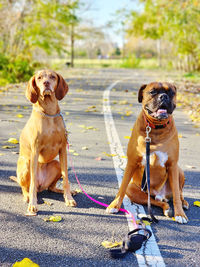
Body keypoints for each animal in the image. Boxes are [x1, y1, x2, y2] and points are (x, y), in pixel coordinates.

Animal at [11, 70, 76, 217]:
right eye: (39, 78)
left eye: (52, 76)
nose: (46, 83)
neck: (49, 113)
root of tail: (42, 185)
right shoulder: (35, 151)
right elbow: (32, 184)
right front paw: (33, 204)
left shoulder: (62, 149)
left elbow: (66, 177)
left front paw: (68, 198)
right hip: (26, 163)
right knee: (26, 187)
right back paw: (27, 197)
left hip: (56, 164)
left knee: (51, 187)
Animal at [106, 81, 189, 224]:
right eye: (152, 92)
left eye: (171, 92)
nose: (163, 96)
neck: (155, 128)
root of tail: (160, 195)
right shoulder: (132, 162)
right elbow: (122, 187)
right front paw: (114, 205)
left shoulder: (172, 165)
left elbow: (177, 195)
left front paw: (180, 214)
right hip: (134, 190)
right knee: (156, 201)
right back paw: (166, 208)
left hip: (179, 171)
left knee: (178, 192)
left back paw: (183, 203)